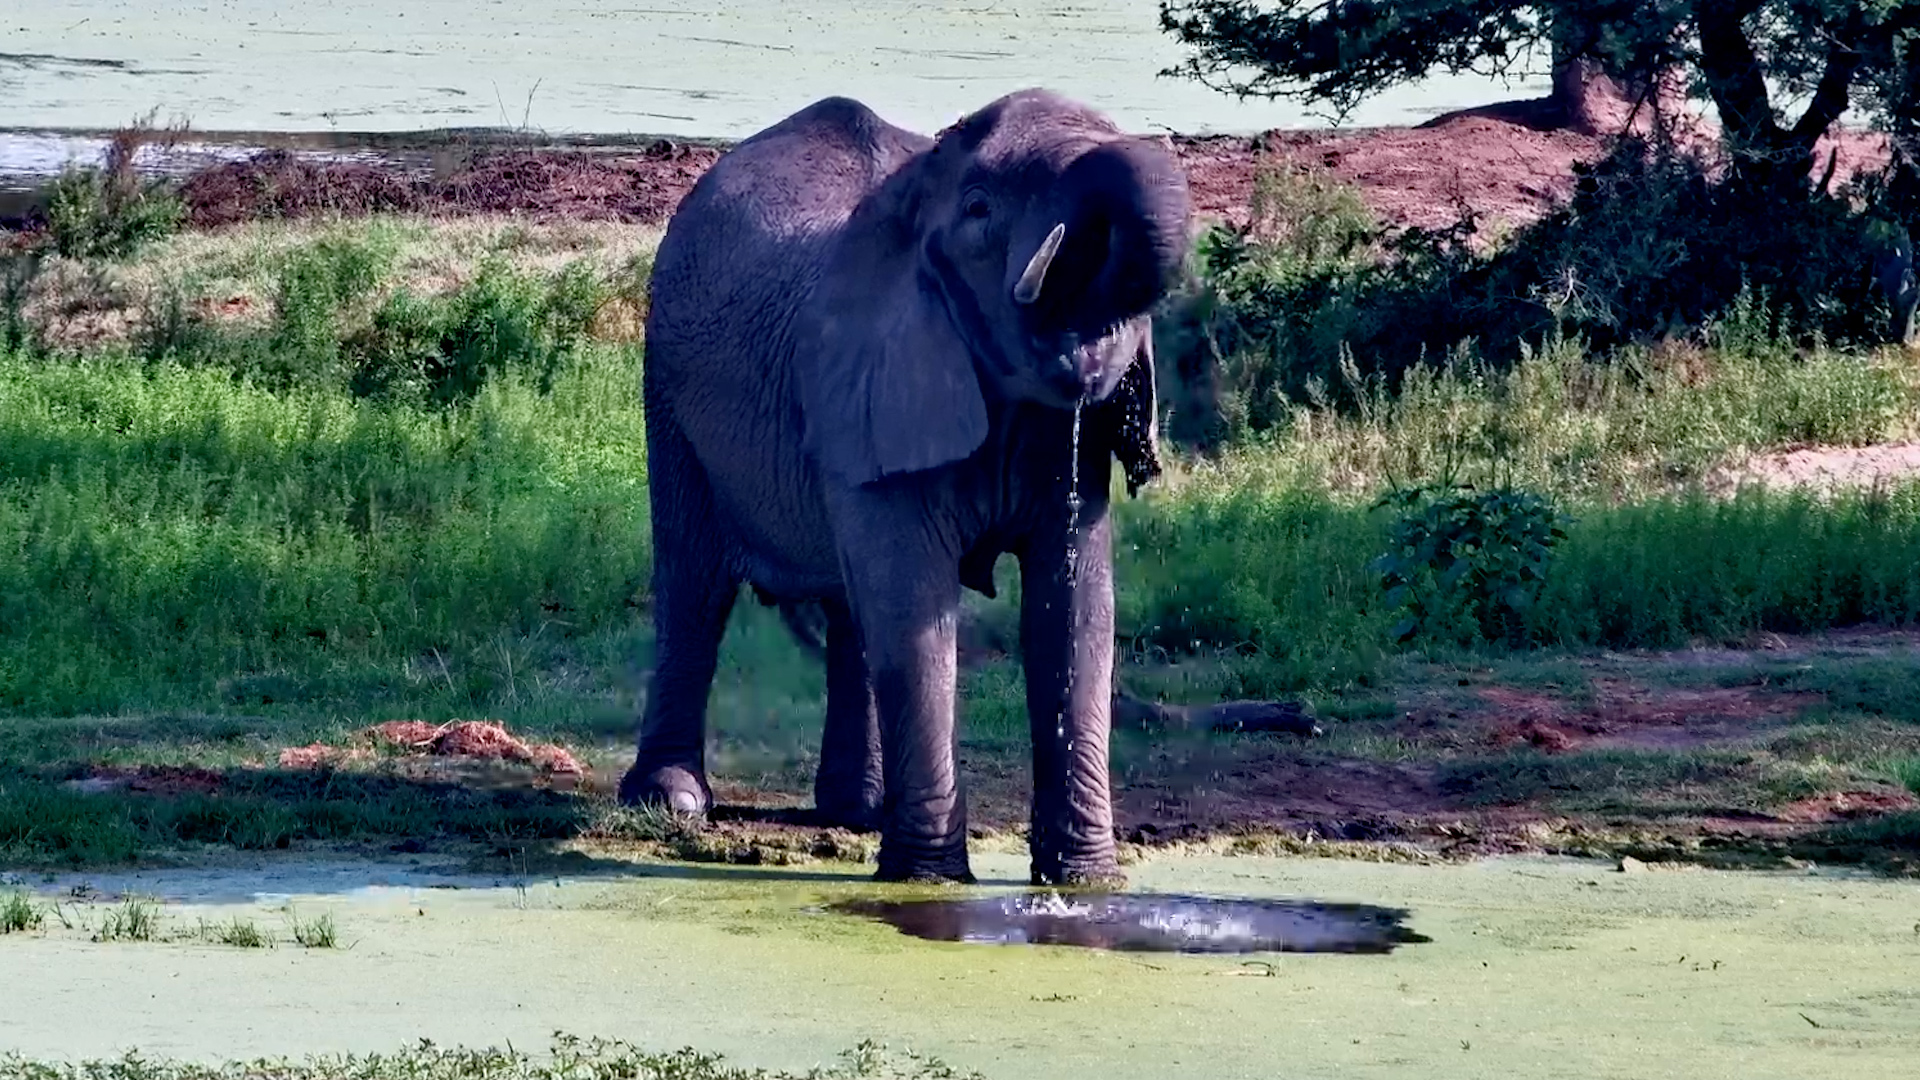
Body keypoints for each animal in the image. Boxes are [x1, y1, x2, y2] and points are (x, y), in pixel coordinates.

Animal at [617, 88, 1192, 886]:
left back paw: (857, 810)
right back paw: (671, 801)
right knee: (694, 581)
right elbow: (916, 606)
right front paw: (930, 880)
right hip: (668, 389)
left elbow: (1074, 615)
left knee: (849, 608)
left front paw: (1088, 882)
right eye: (980, 209)